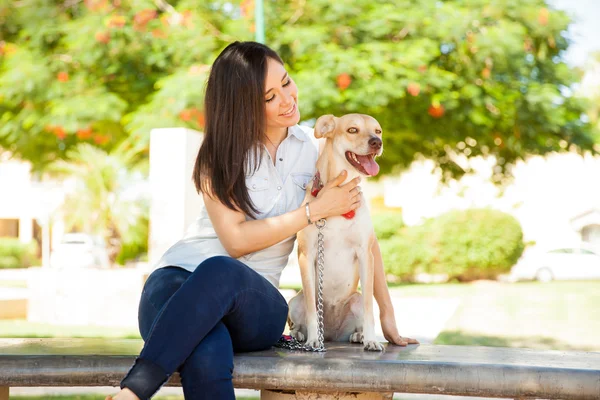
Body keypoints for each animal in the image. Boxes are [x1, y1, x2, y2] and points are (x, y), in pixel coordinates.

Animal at [288, 112, 384, 350]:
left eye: (377, 131)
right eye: (352, 130)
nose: (377, 142)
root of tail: (330, 334)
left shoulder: (365, 254)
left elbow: (369, 308)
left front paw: (371, 339)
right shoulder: (307, 255)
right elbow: (312, 310)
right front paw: (312, 339)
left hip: (354, 300)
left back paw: (359, 336)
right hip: (295, 301)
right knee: (300, 317)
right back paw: (299, 335)